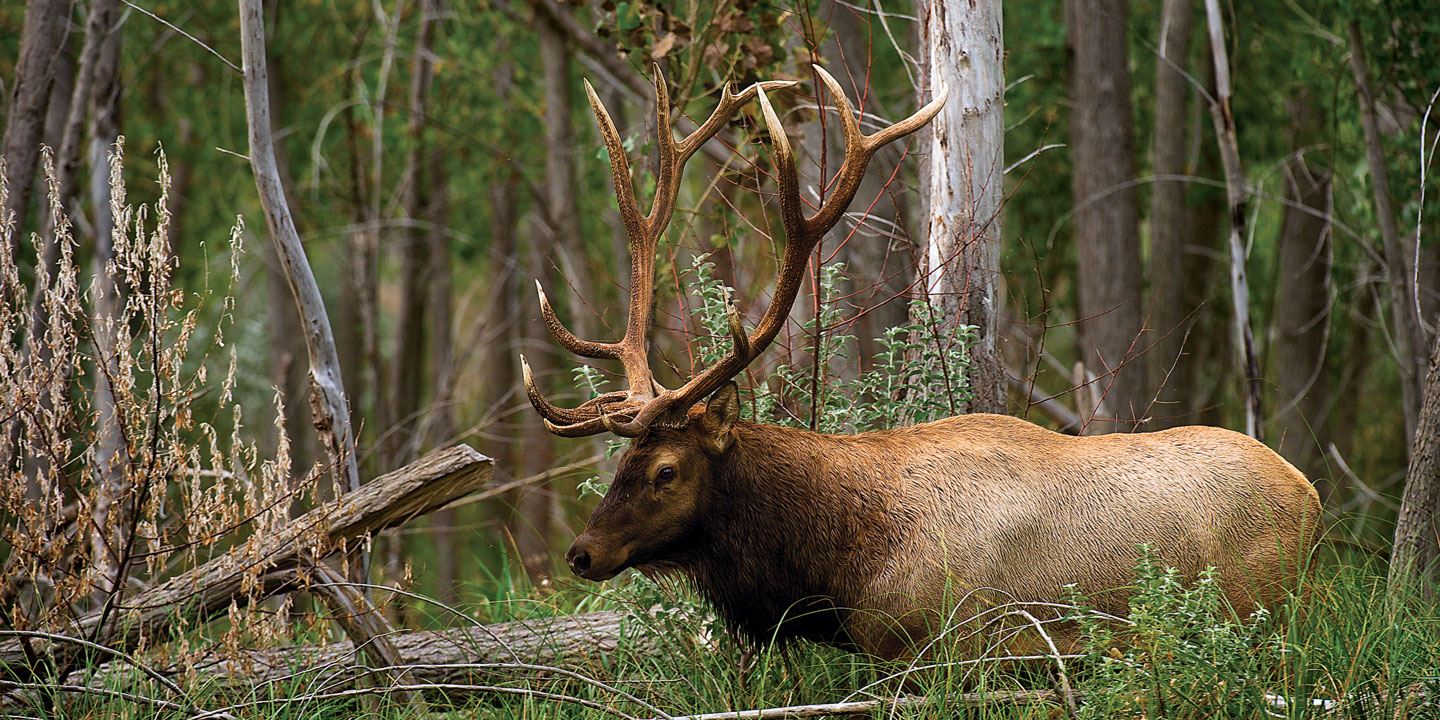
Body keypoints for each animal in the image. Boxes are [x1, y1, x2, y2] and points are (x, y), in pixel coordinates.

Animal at [524, 66, 1319, 659]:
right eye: (621, 464)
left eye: (665, 471)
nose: (581, 554)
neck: (838, 563)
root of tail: (1312, 499)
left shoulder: (946, 643)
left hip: (1261, 610)